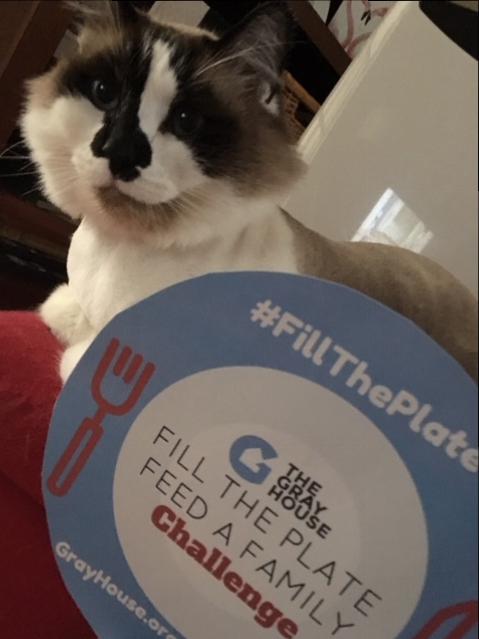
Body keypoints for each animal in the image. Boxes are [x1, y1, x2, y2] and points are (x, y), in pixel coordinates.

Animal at [22, 0, 478, 383]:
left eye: (185, 121)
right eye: (104, 94)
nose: (120, 152)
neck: (121, 248)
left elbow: (94, 353)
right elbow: (70, 311)